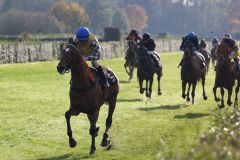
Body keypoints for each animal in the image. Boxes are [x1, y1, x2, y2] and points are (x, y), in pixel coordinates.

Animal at [56, 26, 120, 154]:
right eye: (63, 52)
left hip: (113, 100)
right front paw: (72, 141)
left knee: (108, 120)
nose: (60, 68)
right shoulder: (76, 108)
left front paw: (93, 147)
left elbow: (92, 129)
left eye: (72, 54)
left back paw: (104, 139)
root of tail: (110, 71)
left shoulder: (94, 110)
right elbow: (67, 115)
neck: (83, 84)